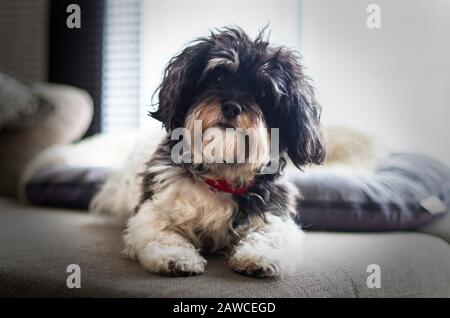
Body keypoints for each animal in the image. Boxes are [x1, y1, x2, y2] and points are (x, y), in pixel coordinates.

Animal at [91, 27, 326, 278]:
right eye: (218, 78)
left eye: (263, 93)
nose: (231, 107)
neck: (220, 173)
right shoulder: (152, 211)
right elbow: (163, 233)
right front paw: (176, 257)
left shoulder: (274, 213)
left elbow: (270, 235)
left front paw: (259, 257)